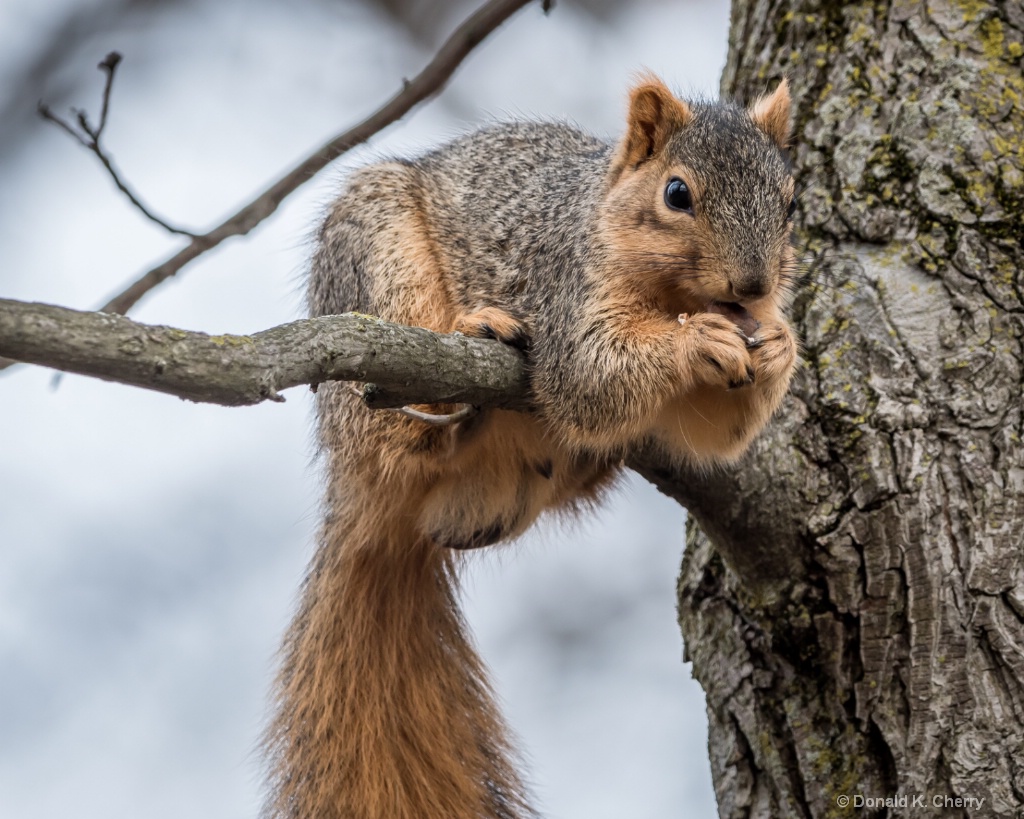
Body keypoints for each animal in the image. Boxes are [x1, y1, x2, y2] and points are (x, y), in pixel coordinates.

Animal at [262, 75, 798, 818]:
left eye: (791, 201)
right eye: (677, 194)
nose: (753, 287)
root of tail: (365, 505)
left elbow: (711, 434)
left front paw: (778, 348)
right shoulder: (566, 293)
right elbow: (590, 377)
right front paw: (696, 340)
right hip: (379, 275)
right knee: (399, 430)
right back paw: (470, 351)